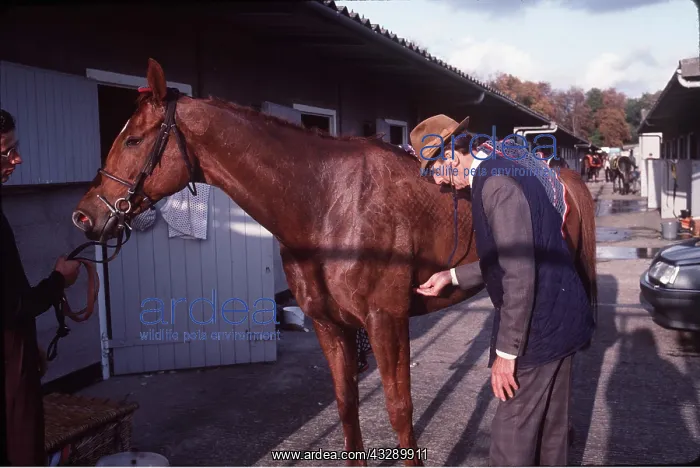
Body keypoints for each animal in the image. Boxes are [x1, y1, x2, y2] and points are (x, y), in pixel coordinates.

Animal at [71, 58, 597, 466]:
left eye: (134, 140)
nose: (86, 215)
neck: (328, 205)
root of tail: (562, 174)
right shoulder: (330, 324)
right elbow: (347, 405)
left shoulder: (386, 321)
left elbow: (399, 408)